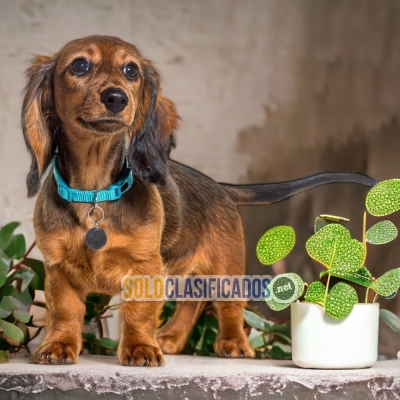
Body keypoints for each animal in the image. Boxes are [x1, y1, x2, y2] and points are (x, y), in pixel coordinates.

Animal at [22, 36, 378, 368]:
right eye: (80, 65)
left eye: (131, 70)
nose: (116, 98)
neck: (95, 194)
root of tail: (220, 187)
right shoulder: (58, 268)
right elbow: (65, 311)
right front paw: (59, 345)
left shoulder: (145, 267)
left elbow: (138, 312)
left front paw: (140, 348)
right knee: (191, 303)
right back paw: (170, 338)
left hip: (226, 269)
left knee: (229, 307)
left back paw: (233, 343)